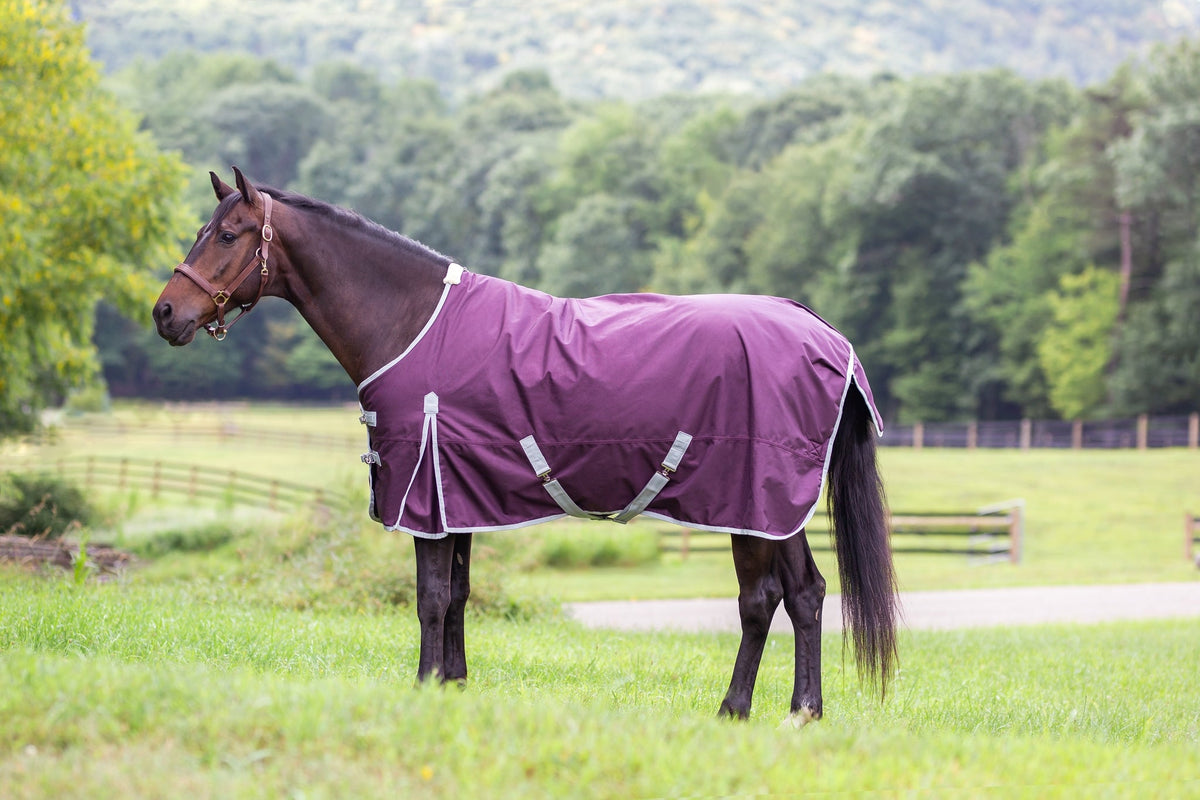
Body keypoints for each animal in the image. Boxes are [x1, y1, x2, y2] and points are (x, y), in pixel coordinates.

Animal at [153, 168, 898, 725]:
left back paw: (734, 709)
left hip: (752, 502)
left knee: (760, 599)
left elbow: (429, 597)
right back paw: (803, 712)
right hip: (778, 510)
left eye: (227, 234)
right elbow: (458, 594)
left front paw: (423, 688)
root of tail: (826, 336)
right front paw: (452, 685)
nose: (164, 314)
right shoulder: (453, 494)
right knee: (806, 593)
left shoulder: (425, 492)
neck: (413, 323)